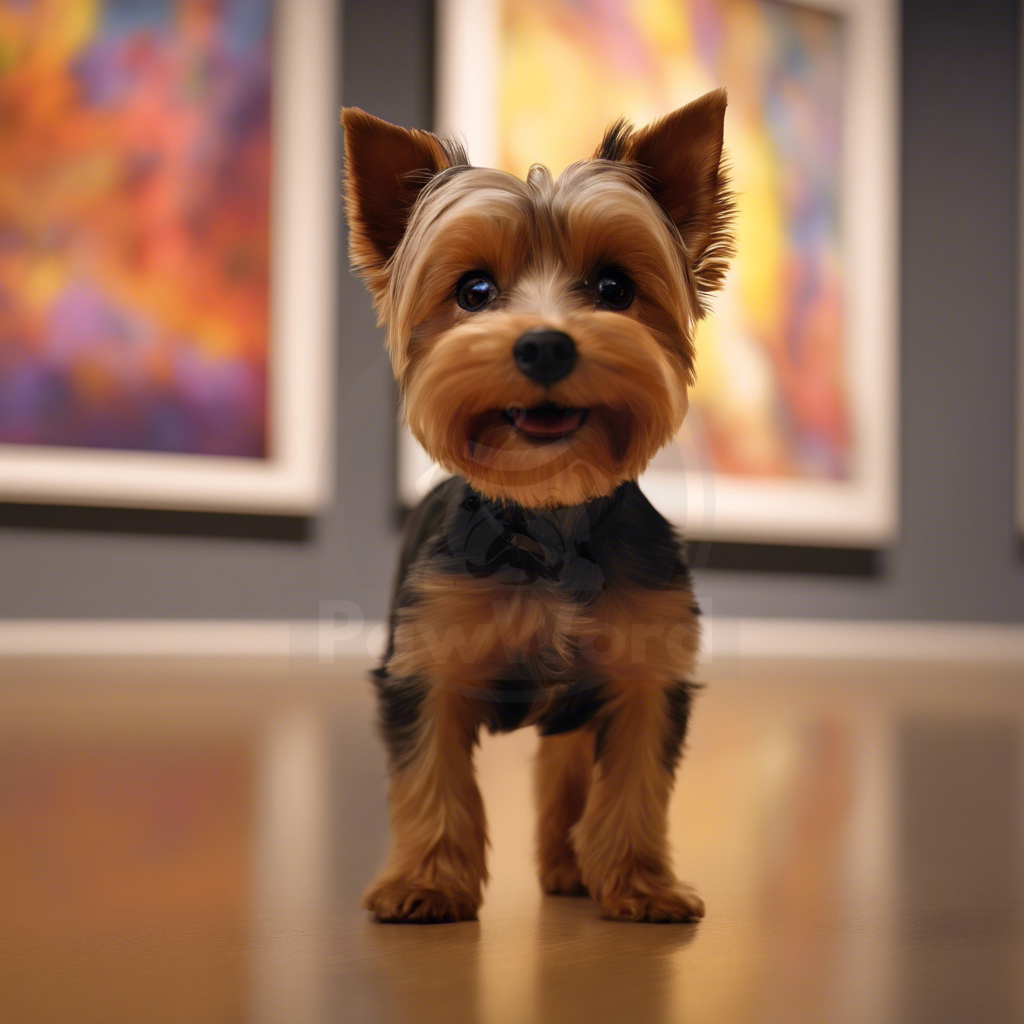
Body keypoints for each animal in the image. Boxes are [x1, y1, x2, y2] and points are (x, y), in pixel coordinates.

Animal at [344, 92, 737, 925]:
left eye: (615, 289)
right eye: (474, 292)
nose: (546, 346)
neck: (549, 505)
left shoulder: (645, 668)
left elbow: (635, 783)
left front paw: (641, 884)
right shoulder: (427, 663)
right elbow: (431, 777)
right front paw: (426, 882)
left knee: (564, 769)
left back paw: (569, 867)